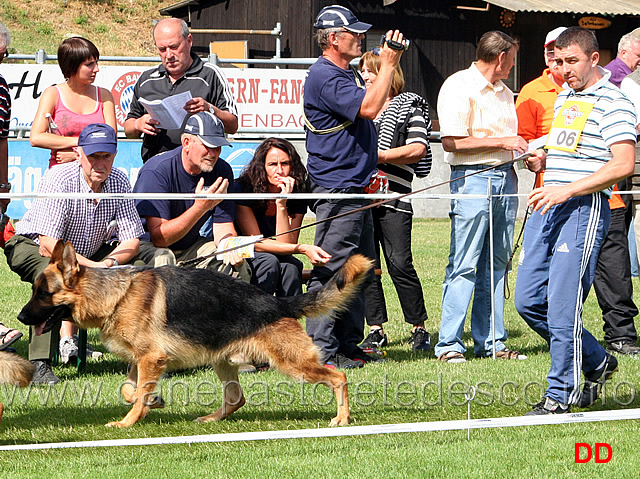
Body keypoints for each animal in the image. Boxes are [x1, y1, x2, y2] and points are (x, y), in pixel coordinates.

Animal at [17, 242, 372, 430]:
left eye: (43, 293)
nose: (20, 318)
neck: (114, 295)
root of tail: (277, 302)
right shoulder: (140, 361)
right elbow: (131, 390)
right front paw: (153, 401)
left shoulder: (150, 358)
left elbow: (136, 394)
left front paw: (128, 422)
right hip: (223, 362)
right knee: (236, 398)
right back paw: (211, 418)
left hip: (293, 364)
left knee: (338, 376)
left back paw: (342, 418)